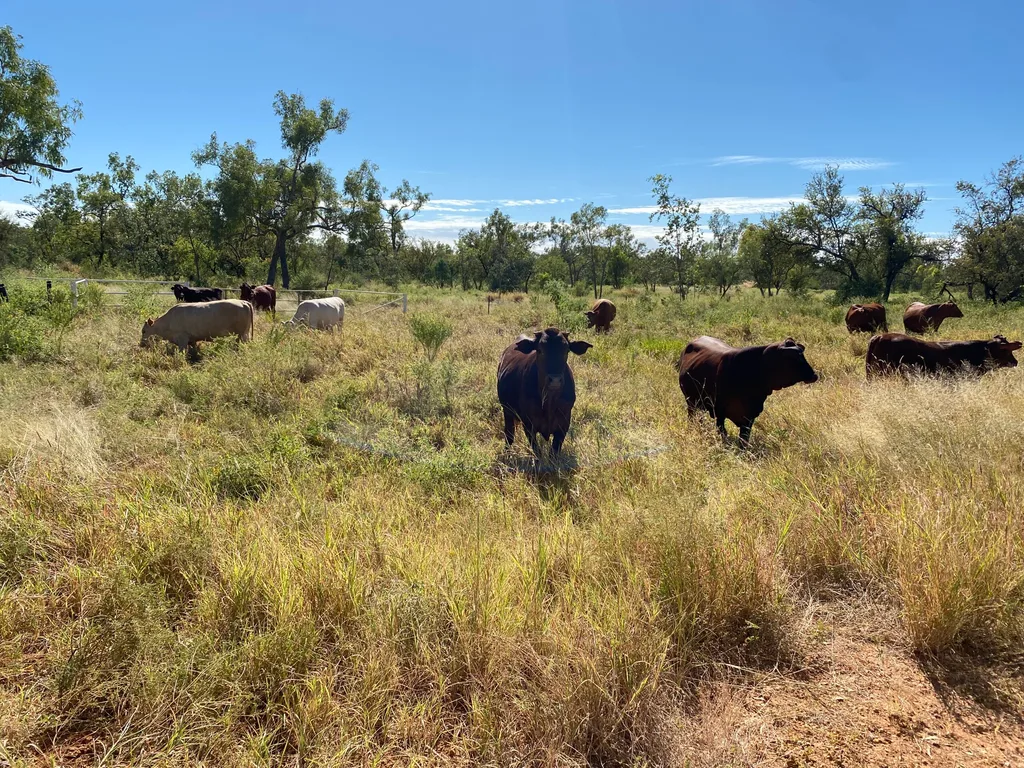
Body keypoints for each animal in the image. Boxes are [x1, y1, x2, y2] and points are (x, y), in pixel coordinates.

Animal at [497, 327, 592, 456]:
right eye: (540, 350)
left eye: (566, 351)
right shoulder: (528, 425)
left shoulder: (564, 424)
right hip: (507, 411)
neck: (550, 402)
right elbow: (537, 452)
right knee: (509, 434)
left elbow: (554, 452)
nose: (555, 380)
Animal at [678, 336, 819, 446]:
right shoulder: (719, 412)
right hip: (691, 402)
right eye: (794, 358)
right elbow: (723, 432)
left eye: (802, 355)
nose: (814, 375)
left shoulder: (750, 415)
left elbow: (744, 438)